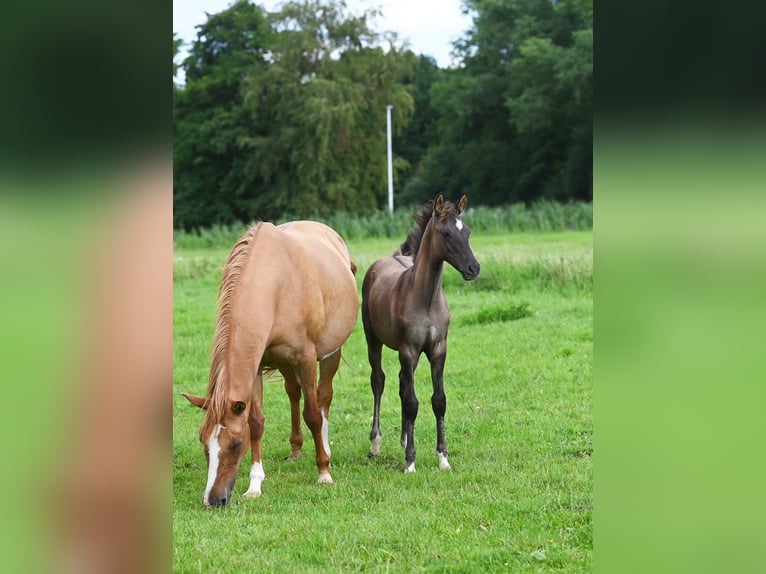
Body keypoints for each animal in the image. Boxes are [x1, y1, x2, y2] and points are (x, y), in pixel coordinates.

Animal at [183, 220, 360, 508]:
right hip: (286, 363)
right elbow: (256, 422)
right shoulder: (257, 365)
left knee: (323, 398)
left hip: (329, 354)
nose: (213, 500)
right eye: (203, 443)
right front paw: (255, 484)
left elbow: (312, 414)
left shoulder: (306, 358)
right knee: (293, 393)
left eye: (235, 444)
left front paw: (323, 472)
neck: (276, 285)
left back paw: (325, 448)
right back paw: (295, 448)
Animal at [362, 196, 480, 474]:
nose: (474, 268)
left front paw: (443, 458)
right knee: (379, 381)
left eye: (467, 232)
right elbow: (412, 403)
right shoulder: (409, 350)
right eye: (445, 233)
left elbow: (438, 400)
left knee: (402, 383)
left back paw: (405, 438)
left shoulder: (438, 350)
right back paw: (375, 444)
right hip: (374, 340)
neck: (425, 299)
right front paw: (410, 462)